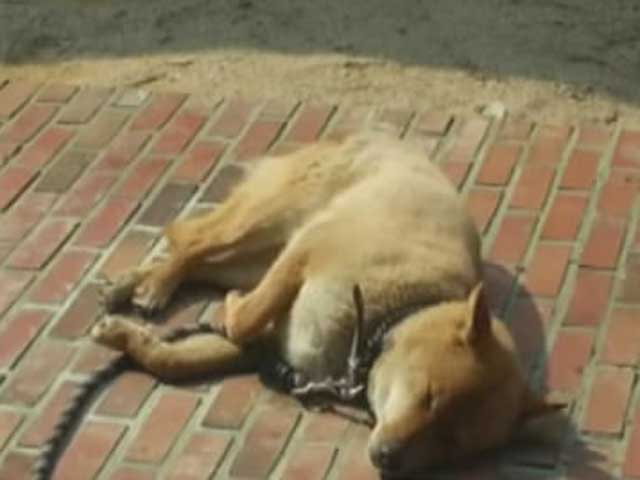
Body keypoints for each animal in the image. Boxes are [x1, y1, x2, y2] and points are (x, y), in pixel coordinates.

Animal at [91, 132, 560, 476]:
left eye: (453, 445)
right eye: (428, 397)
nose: (388, 459)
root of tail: (375, 133)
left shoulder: (265, 350)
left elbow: (174, 361)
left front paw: (128, 340)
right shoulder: (308, 251)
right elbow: (244, 319)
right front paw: (230, 309)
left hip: (255, 255)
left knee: (199, 257)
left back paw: (132, 284)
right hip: (271, 224)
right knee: (190, 239)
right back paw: (154, 286)